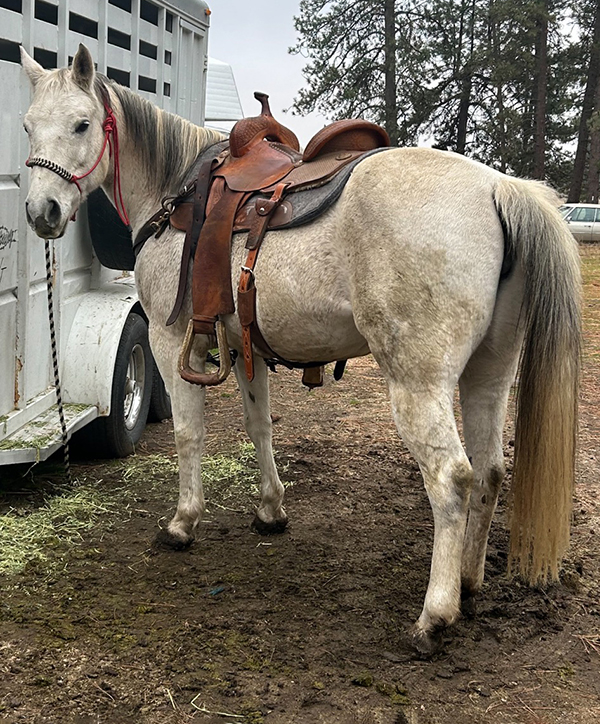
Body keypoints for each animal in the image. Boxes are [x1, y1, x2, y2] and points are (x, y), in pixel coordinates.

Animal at [20, 44, 581, 655]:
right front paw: (270, 510)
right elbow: (258, 425)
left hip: (419, 383)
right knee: (489, 472)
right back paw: (470, 583)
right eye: (26, 125)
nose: (42, 212)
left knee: (453, 478)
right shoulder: (244, 344)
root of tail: (498, 188)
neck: (179, 193)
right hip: (489, 373)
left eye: (81, 124)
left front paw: (183, 522)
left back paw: (435, 615)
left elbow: (190, 433)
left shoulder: (174, 344)